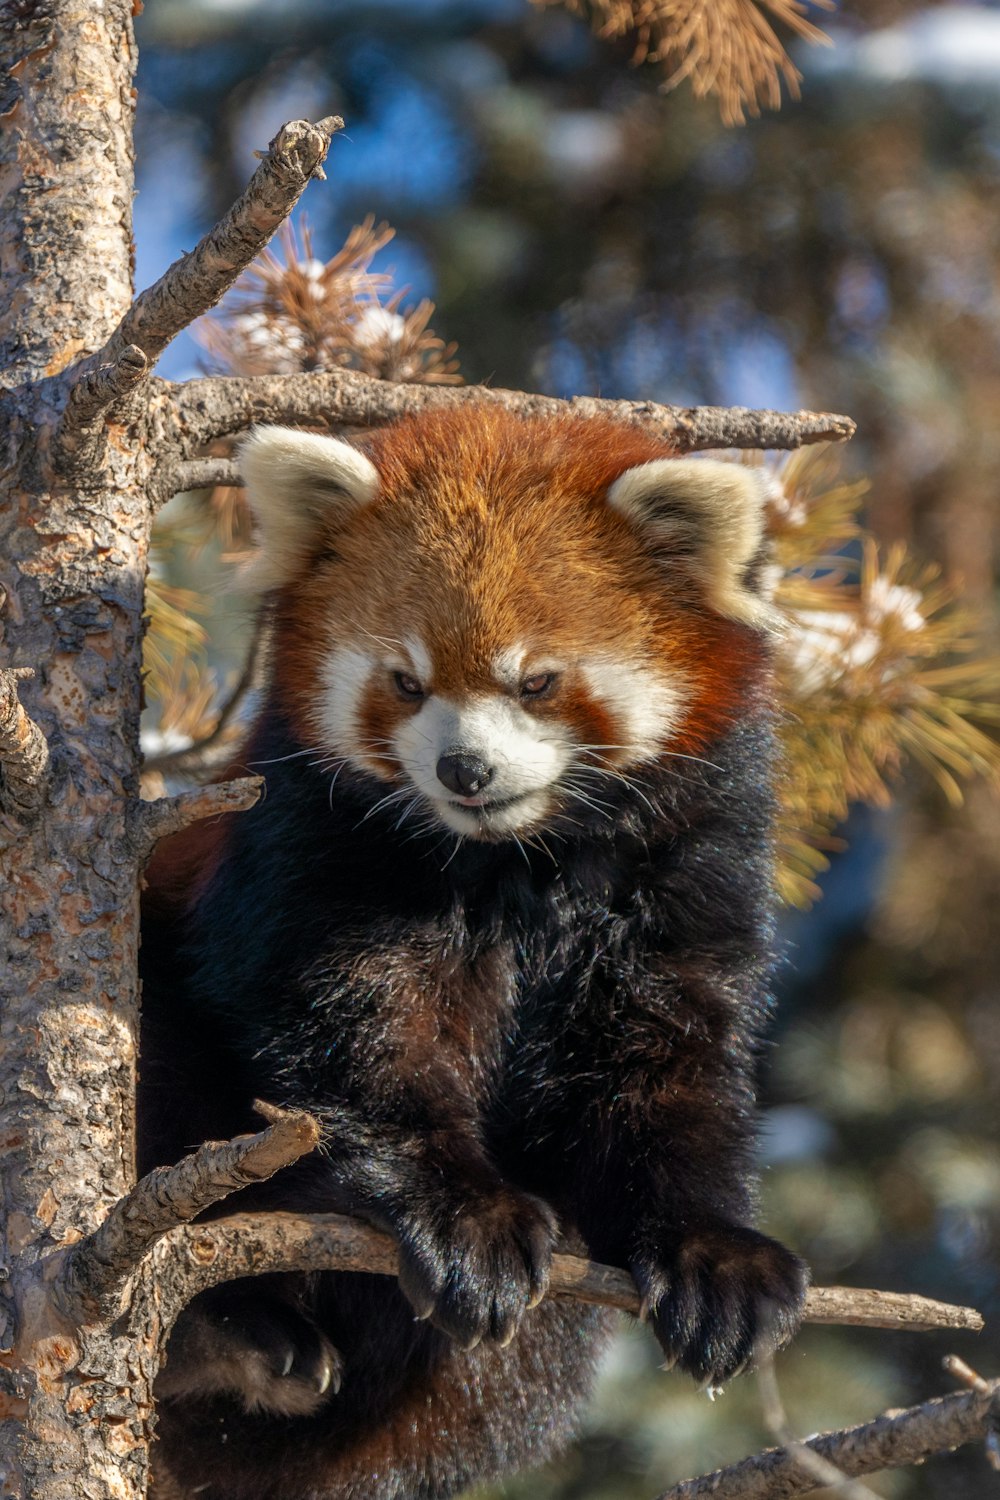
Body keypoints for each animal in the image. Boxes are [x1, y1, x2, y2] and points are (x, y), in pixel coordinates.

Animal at [140, 405, 809, 1500]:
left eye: (535, 681)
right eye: (405, 682)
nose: (464, 768)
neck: (518, 862)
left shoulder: (690, 869)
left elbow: (668, 1066)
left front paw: (717, 1257)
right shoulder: (315, 858)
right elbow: (359, 1038)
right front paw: (465, 1220)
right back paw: (232, 1331)